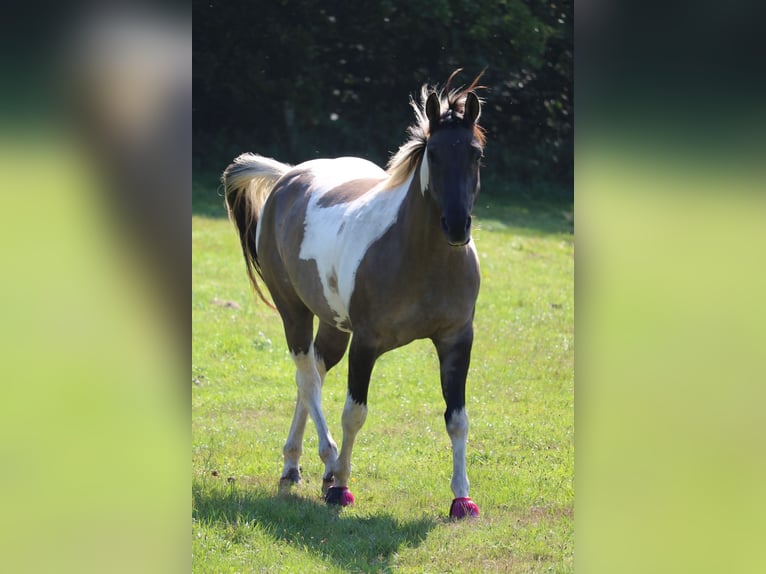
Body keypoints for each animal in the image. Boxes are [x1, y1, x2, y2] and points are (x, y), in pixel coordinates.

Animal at [223, 70, 485, 519]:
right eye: (433, 154)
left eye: (476, 155)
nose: (456, 227)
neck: (419, 258)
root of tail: (288, 175)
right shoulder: (366, 343)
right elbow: (354, 414)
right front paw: (341, 487)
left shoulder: (456, 340)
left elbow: (457, 418)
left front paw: (462, 498)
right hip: (294, 311)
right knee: (307, 377)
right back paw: (326, 464)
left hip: (333, 324)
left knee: (312, 372)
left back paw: (294, 465)